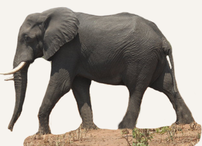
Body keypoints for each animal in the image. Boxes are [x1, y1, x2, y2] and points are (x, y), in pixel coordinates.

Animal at [0, 7, 195, 135]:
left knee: (136, 88)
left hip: (141, 57)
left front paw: (41, 135)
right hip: (156, 59)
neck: (47, 13)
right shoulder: (75, 54)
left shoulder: (69, 48)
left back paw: (124, 127)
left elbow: (61, 83)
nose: (9, 129)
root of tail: (163, 39)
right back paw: (184, 124)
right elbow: (79, 86)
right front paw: (88, 130)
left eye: (27, 38)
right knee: (166, 85)